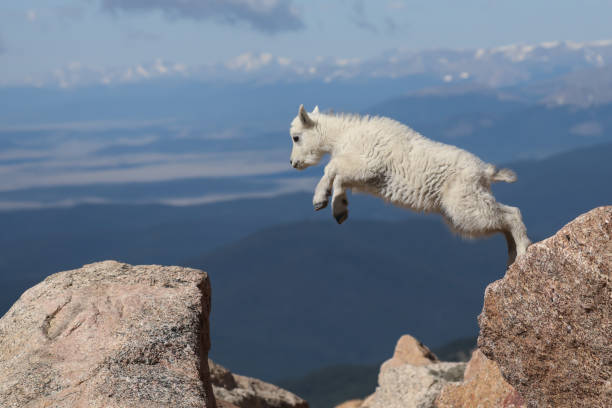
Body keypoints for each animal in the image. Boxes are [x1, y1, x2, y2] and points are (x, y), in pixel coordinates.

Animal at [290, 104, 528, 264]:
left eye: (296, 137)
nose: (293, 163)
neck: (342, 136)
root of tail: (484, 172)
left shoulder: (367, 165)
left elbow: (331, 169)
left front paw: (320, 200)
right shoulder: (362, 176)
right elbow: (340, 178)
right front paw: (340, 210)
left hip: (464, 205)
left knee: (510, 214)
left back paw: (523, 252)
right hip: (468, 202)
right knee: (505, 218)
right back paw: (511, 258)